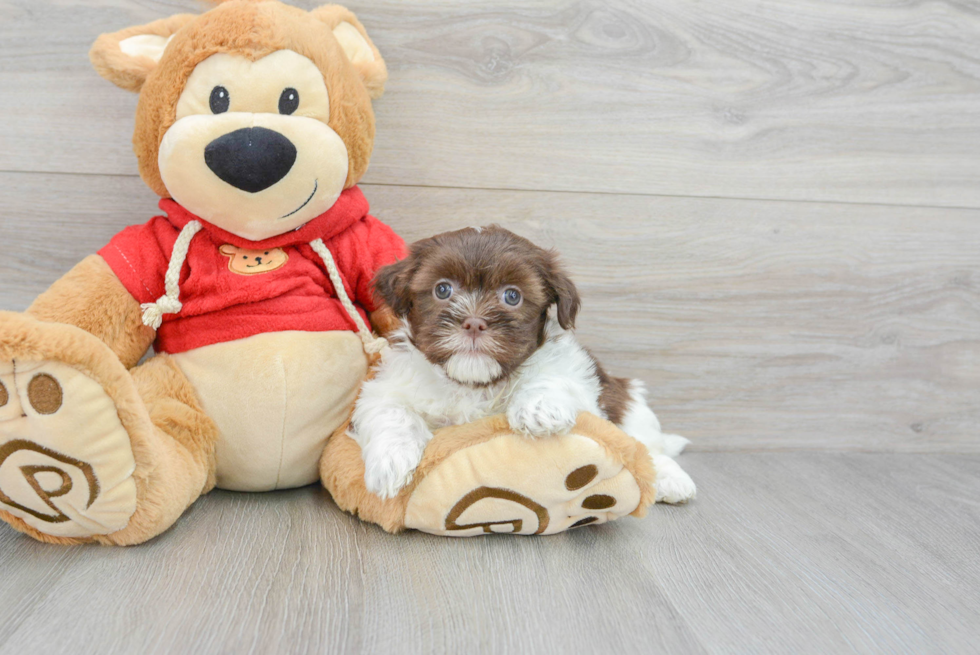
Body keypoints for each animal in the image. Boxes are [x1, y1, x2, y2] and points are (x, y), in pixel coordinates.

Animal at [348, 226, 692, 502]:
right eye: (442, 289)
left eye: (512, 296)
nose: (474, 323)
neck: (474, 384)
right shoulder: (385, 388)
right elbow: (390, 410)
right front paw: (391, 463)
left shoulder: (573, 371)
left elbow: (554, 376)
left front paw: (538, 410)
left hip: (628, 402)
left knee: (645, 447)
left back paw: (671, 479)